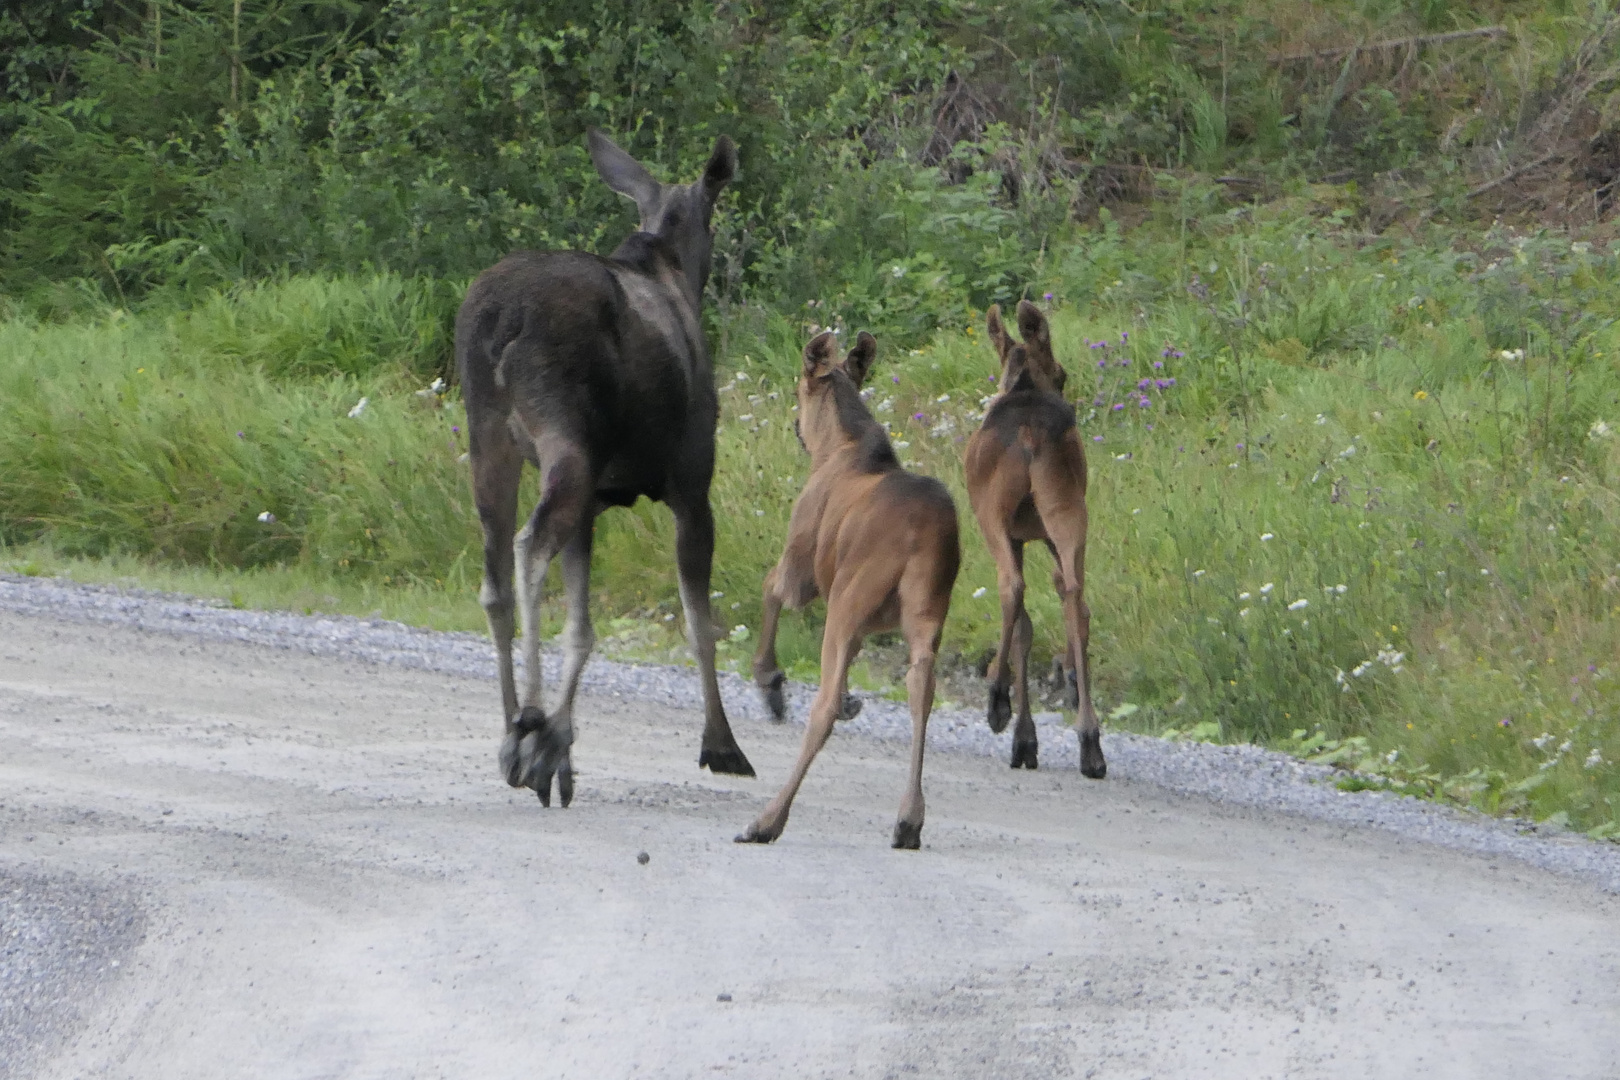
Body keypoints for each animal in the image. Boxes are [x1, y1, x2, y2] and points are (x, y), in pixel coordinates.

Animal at [453, 127, 748, 806]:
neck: (665, 262)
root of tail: (502, 319)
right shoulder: (693, 483)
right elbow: (699, 623)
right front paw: (721, 744)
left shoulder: (595, 502)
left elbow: (582, 621)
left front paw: (563, 751)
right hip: (568, 442)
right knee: (530, 546)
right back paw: (530, 723)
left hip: (490, 438)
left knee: (495, 579)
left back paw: (514, 727)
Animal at [741, 333, 959, 848]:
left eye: (798, 387)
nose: (796, 426)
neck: (838, 443)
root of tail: (926, 534)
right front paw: (848, 700)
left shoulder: (802, 568)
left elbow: (770, 587)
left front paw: (769, 679)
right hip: (927, 608)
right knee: (921, 686)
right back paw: (909, 818)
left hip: (847, 598)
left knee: (821, 706)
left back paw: (768, 819)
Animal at [965, 299, 1108, 780]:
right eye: (1061, 374)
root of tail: (1029, 433)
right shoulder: (1041, 534)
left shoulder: (1016, 534)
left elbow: (1024, 627)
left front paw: (1023, 735)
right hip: (1069, 509)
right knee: (1076, 597)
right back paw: (1090, 740)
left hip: (991, 517)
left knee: (1012, 588)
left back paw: (996, 697)